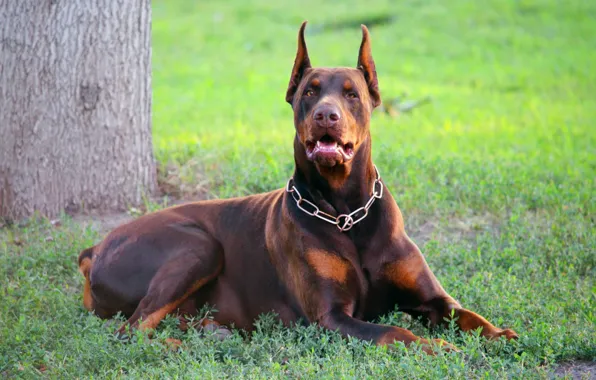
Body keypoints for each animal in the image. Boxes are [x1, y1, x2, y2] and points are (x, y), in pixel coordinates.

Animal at [78, 21, 516, 354]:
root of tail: (94, 248)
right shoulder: (331, 317)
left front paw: (500, 335)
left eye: (352, 94)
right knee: (130, 330)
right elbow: (395, 331)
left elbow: (466, 314)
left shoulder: (431, 298)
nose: (326, 115)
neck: (346, 212)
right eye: (310, 90)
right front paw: (440, 347)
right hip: (196, 246)